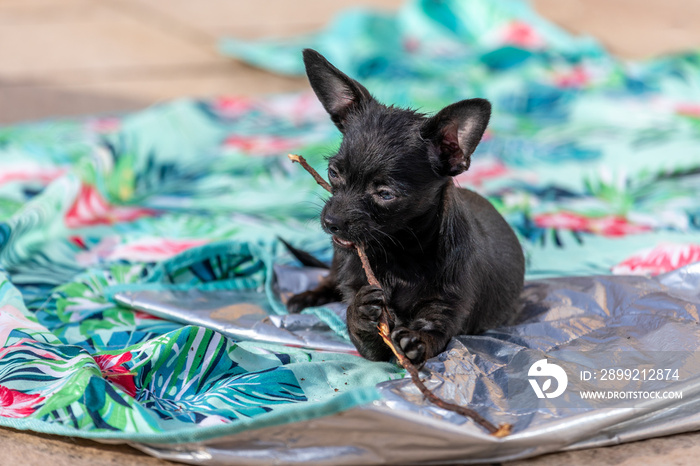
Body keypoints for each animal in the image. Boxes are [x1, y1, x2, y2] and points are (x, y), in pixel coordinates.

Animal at [286, 49, 524, 366]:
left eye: (385, 194)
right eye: (333, 172)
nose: (331, 221)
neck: (400, 252)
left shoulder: (447, 305)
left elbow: (433, 330)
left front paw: (417, 340)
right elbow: (360, 327)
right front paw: (360, 313)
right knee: (330, 276)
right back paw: (309, 295)